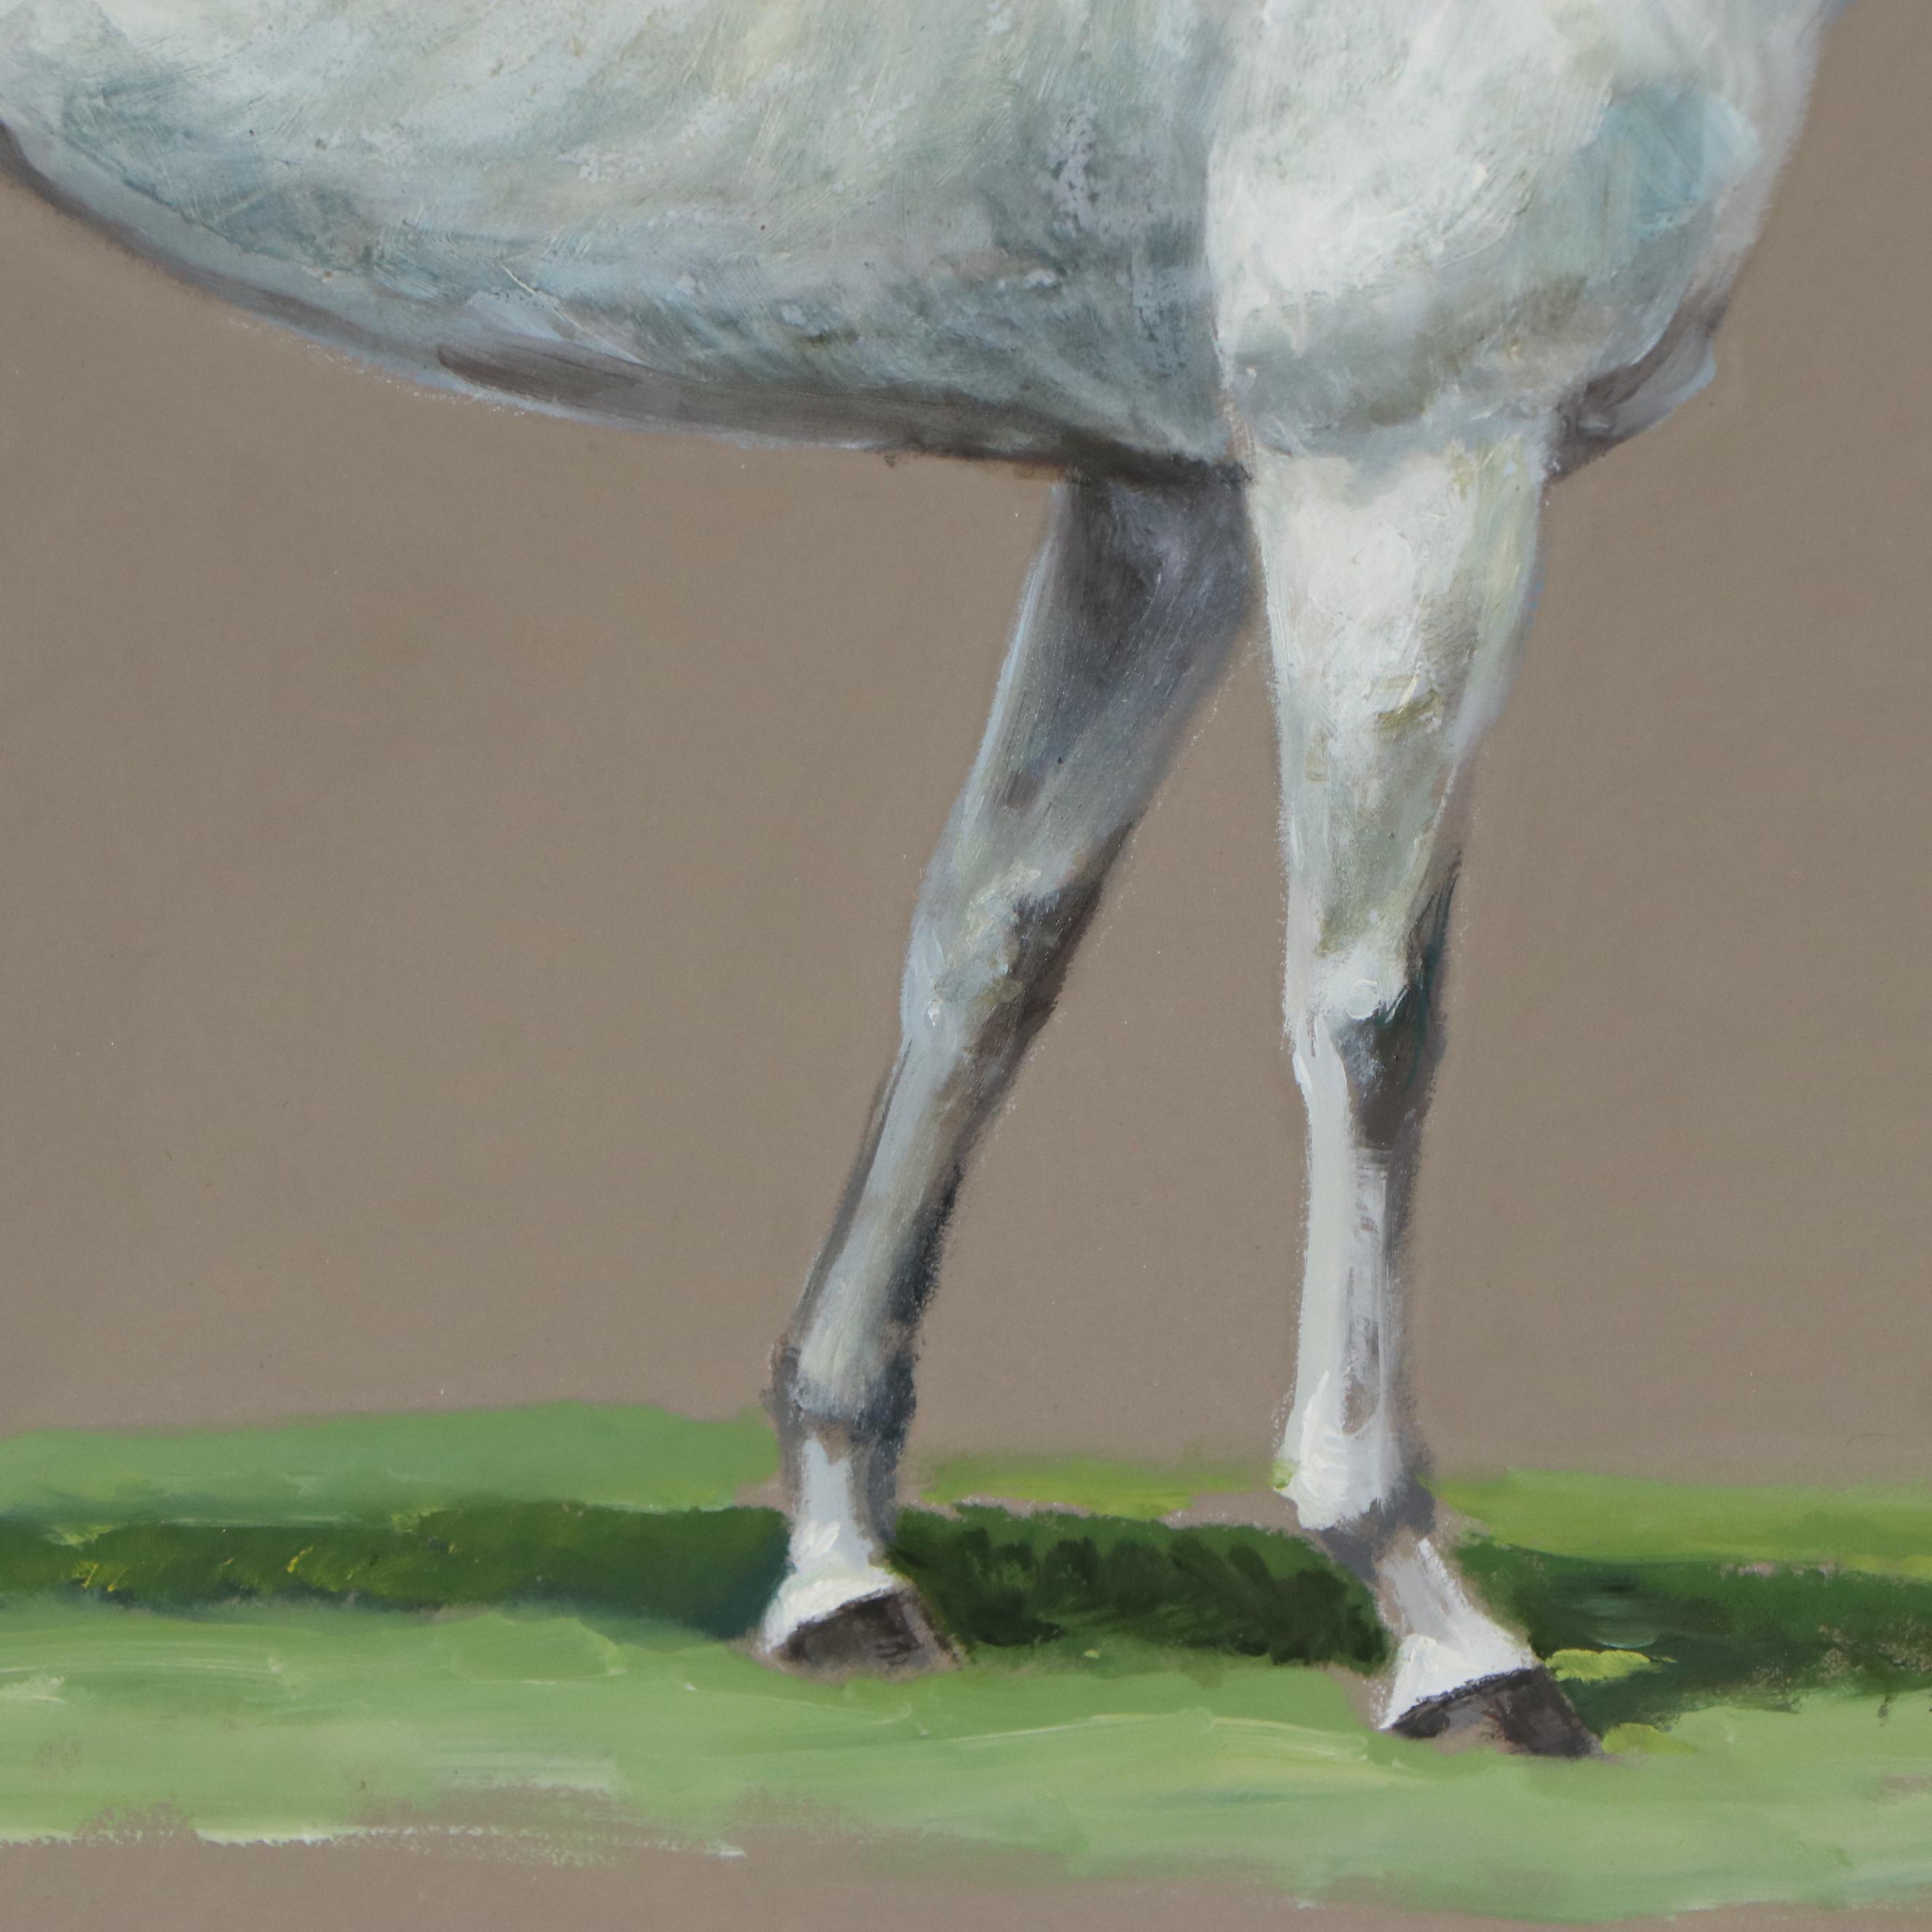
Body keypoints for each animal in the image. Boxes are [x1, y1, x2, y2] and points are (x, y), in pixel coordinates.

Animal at [0, 0, 1858, 1755]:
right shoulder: (1396, 456)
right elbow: (1370, 1013)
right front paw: (1442, 1627)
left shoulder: (1167, 490)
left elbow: (993, 943)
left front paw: (837, 1564)